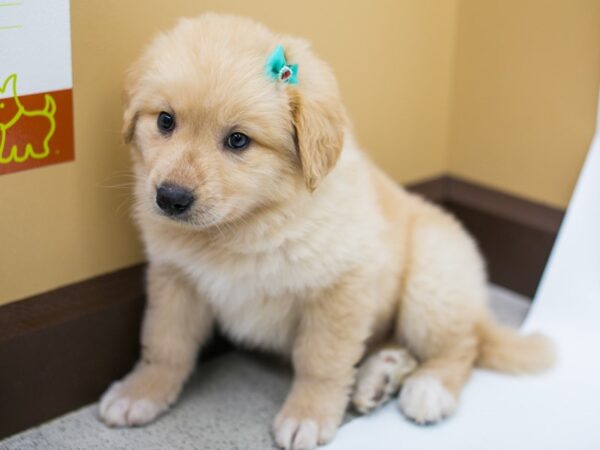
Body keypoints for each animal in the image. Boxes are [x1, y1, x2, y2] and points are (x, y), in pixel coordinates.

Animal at [97, 14, 552, 450]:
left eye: (238, 140)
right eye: (165, 120)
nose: (170, 198)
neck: (245, 225)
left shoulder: (340, 288)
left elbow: (322, 362)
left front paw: (307, 416)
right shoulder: (175, 279)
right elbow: (164, 344)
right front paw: (141, 393)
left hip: (432, 284)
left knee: (462, 346)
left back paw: (427, 388)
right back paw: (379, 377)